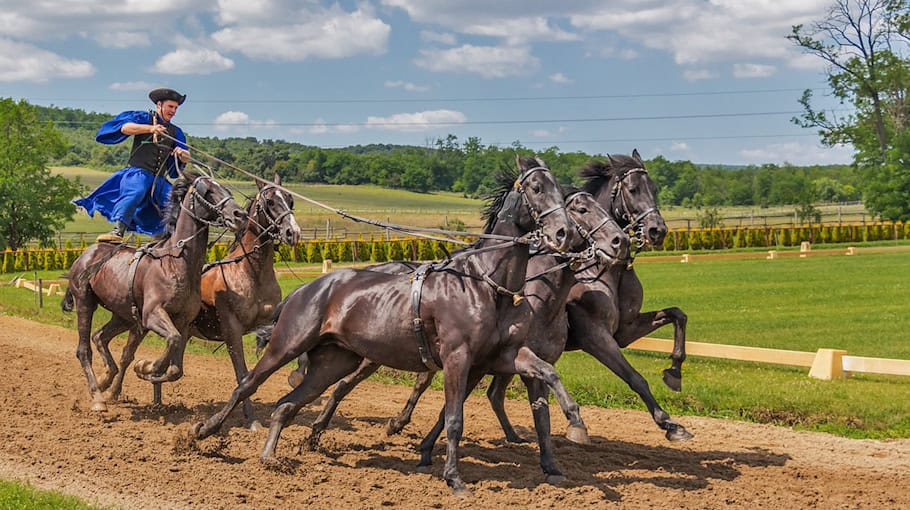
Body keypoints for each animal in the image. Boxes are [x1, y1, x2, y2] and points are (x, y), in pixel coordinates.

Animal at [61, 173, 248, 412]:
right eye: (208, 191)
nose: (239, 215)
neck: (174, 263)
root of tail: (85, 255)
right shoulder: (152, 315)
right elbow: (173, 341)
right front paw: (147, 366)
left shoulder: (182, 321)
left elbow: (175, 368)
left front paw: (148, 370)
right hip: (85, 302)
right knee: (84, 349)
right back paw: (97, 396)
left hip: (123, 315)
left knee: (100, 337)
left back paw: (106, 379)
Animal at [190, 173, 302, 428]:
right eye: (270, 202)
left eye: (290, 200)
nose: (293, 233)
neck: (251, 271)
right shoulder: (232, 331)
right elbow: (242, 374)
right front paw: (251, 420)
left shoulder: (270, 322)